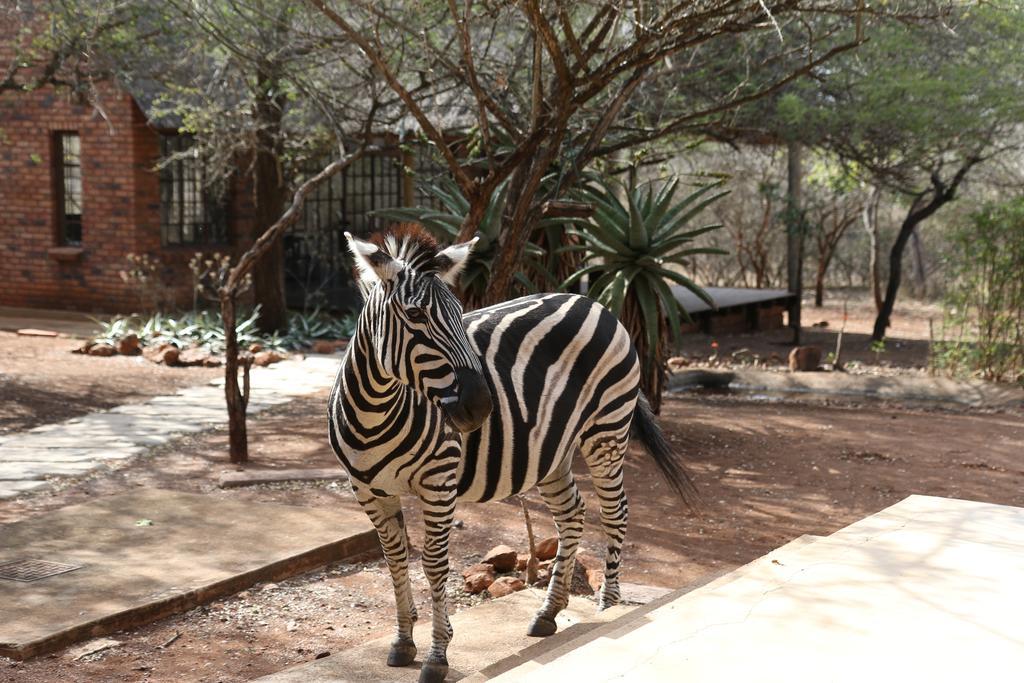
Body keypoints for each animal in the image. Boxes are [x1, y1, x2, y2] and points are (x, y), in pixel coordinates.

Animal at [327, 225, 696, 683]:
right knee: (572, 513)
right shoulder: (367, 490)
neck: (374, 411)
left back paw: (608, 609)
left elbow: (434, 564)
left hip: (607, 429)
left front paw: (437, 655)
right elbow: (394, 558)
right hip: (552, 450)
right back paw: (548, 613)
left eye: (459, 312)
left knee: (615, 513)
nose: (481, 406)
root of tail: (592, 302)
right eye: (415, 316)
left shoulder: (439, 482)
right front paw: (402, 642)